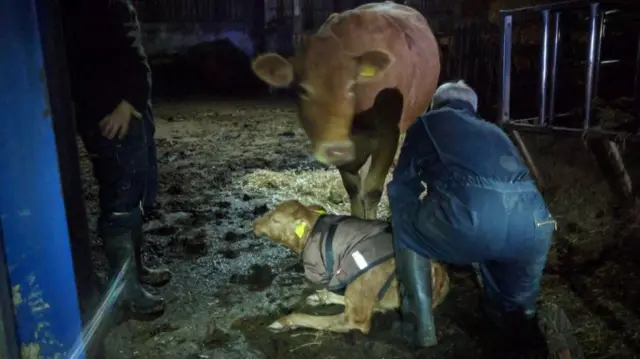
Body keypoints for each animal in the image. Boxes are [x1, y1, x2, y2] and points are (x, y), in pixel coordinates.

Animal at [250, 1, 440, 219]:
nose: (337, 150)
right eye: (302, 89)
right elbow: (353, 188)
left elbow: (373, 190)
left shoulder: (389, 134)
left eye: (351, 86)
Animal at [251, 201, 450, 336]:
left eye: (275, 220)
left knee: (352, 321)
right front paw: (321, 296)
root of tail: (436, 268)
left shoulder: (317, 270)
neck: (311, 230)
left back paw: (286, 321)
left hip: (361, 277)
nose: (254, 224)